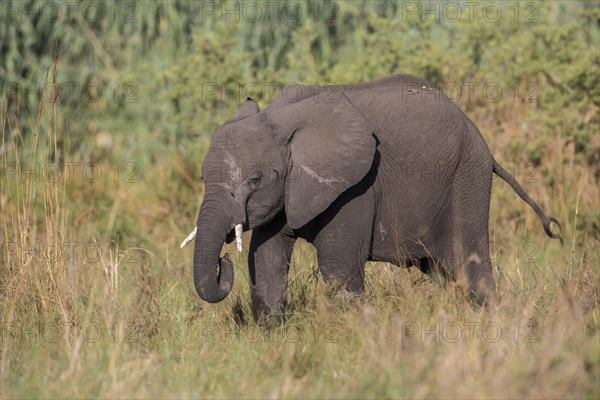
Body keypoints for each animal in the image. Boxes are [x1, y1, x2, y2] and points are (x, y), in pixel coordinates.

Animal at [179, 73, 564, 320]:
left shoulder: (357, 187)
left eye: (256, 179)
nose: (222, 261)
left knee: (469, 264)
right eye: (203, 177)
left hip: (467, 177)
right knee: (443, 271)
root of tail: (485, 144)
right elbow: (266, 261)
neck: (280, 120)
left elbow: (337, 268)